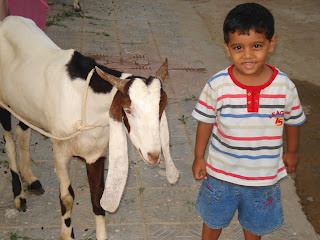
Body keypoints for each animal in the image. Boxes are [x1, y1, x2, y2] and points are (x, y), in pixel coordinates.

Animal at [0, 15, 179, 239]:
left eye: (160, 109)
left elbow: (97, 198)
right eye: (127, 110)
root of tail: (7, 20)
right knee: (9, 141)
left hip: (25, 105)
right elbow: (67, 198)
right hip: (4, 103)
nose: (154, 156)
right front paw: (67, 234)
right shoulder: (60, 151)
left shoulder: (96, 154)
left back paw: (31, 179)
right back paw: (19, 195)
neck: (86, 105)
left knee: (23, 133)